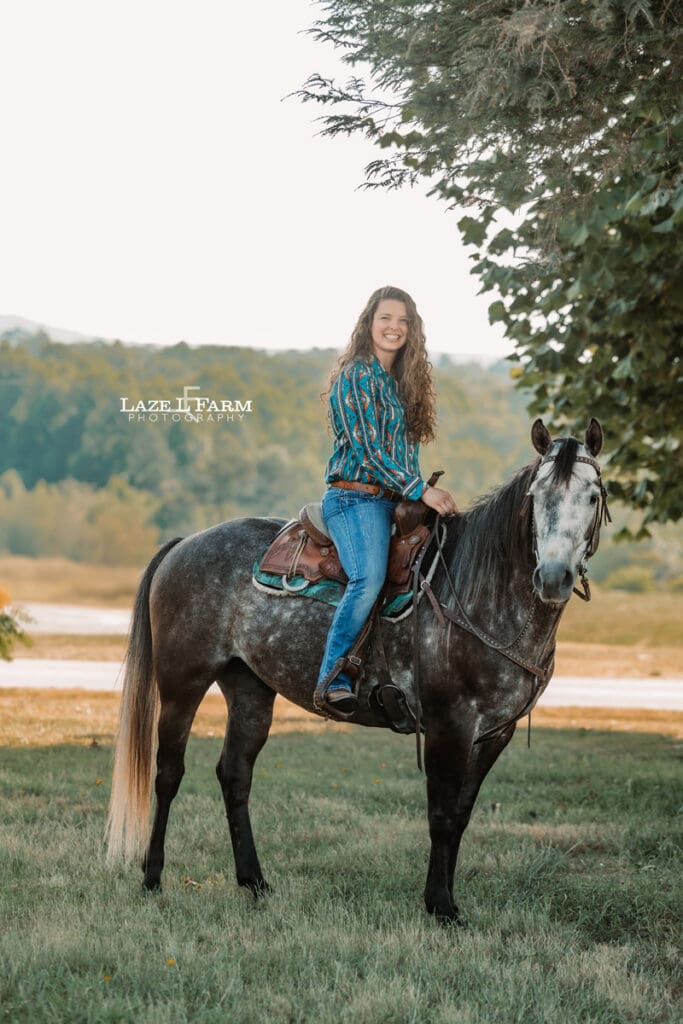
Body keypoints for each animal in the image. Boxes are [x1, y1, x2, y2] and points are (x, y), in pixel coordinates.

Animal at [106, 417, 609, 923]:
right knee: (168, 773)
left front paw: (444, 900)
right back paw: (152, 877)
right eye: (536, 496)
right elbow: (442, 814)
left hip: (249, 689)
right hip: (181, 684)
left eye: (592, 496)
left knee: (235, 774)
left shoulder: (495, 733)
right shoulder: (449, 725)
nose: (553, 577)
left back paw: (255, 882)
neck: (476, 592)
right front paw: (441, 905)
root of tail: (183, 544)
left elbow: (462, 813)